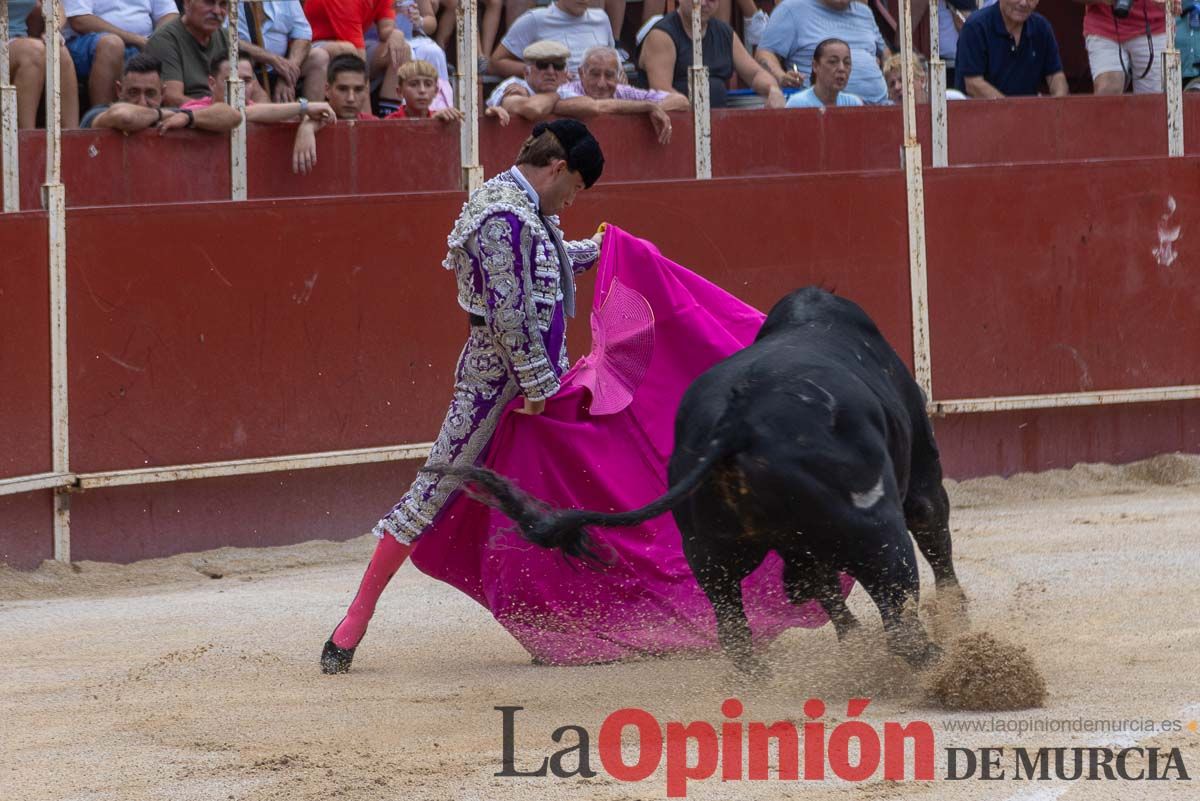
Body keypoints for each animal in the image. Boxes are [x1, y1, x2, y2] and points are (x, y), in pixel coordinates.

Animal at [439, 291, 964, 671]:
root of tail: (739, 421)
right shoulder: (921, 480)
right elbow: (934, 534)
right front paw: (957, 615)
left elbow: (822, 586)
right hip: (875, 530)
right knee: (898, 605)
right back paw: (945, 665)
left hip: (709, 552)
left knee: (735, 628)